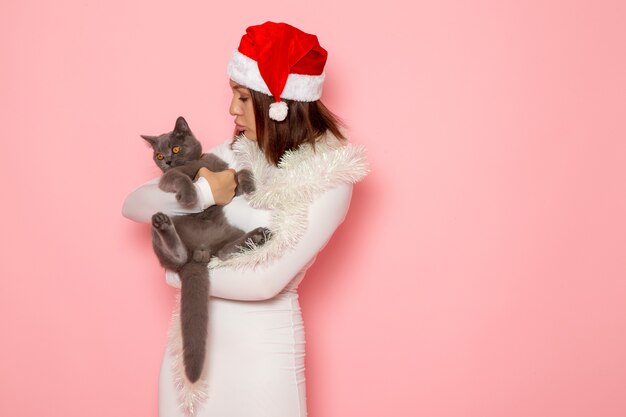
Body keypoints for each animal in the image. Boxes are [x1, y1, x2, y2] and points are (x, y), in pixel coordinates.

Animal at [141, 115, 268, 382]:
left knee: (225, 252)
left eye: (175, 149)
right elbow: (182, 178)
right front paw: (191, 197)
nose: (167, 161)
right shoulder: (166, 179)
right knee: (176, 257)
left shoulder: (225, 174)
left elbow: (239, 171)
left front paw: (250, 185)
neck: (196, 162)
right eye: (159, 155)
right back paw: (166, 229)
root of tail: (200, 253)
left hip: (230, 234)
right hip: (157, 233)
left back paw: (258, 235)